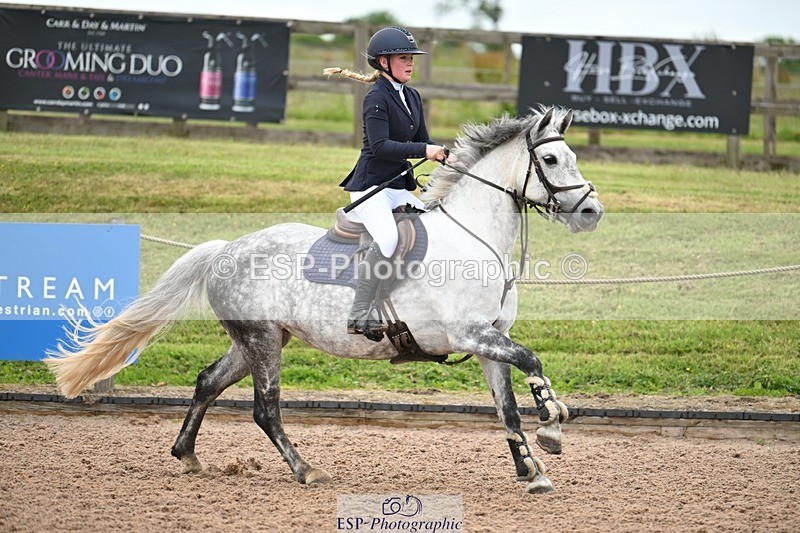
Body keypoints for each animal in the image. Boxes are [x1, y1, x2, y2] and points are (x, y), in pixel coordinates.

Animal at [44, 106, 604, 494]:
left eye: (573, 157)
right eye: (550, 159)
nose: (591, 213)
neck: (474, 237)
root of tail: (226, 248)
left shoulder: (491, 340)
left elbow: (507, 409)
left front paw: (532, 470)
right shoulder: (471, 334)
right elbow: (533, 362)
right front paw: (552, 427)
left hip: (257, 340)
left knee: (207, 381)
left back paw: (188, 455)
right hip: (262, 342)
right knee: (266, 409)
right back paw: (305, 470)